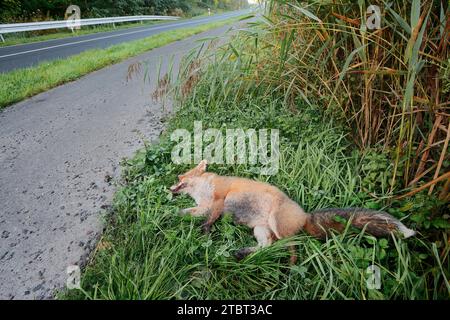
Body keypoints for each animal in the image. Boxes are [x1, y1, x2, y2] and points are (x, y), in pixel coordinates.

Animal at [170, 159, 414, 262]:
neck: (204, 190)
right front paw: (172, 215)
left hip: (277, 225)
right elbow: (188, 212)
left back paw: (291, 268)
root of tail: (304, 215)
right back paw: (244, 253)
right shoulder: (205, 207)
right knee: (266, 247)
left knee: (292, 246)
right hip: (261, 230)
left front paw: (204, 231)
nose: (171, 186)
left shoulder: (220, 198)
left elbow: (209, 220)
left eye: (182, 176)